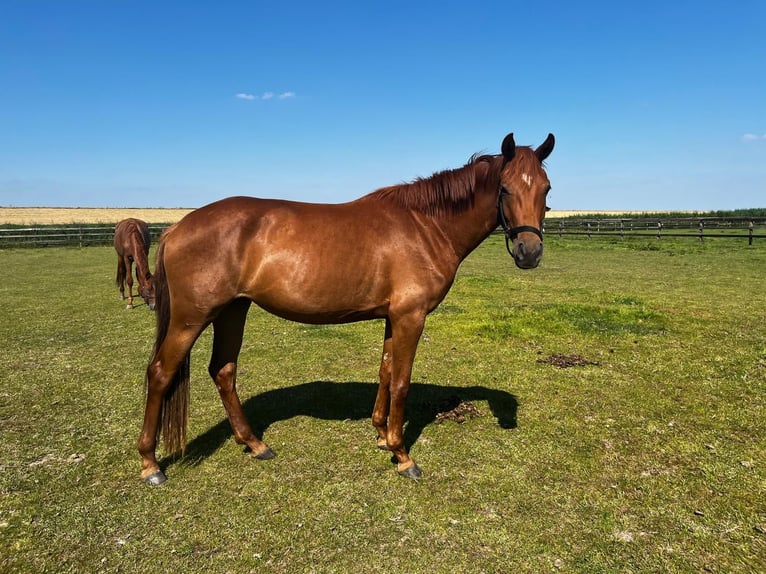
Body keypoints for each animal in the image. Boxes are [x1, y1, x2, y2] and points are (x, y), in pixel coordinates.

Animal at [138, 134, 556, 486]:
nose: (529, 253)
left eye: (546, 188)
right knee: (160, 373)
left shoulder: (393, 318)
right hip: (191, 318)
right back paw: (150, 464)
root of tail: (176, 228)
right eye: (505, 188)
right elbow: (401, 381)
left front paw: (382, 435)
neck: (425, 226)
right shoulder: (411, 317)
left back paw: (255, 444)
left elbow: (386, 372)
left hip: (232, 311)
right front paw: (403, 455)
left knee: (223, 371)